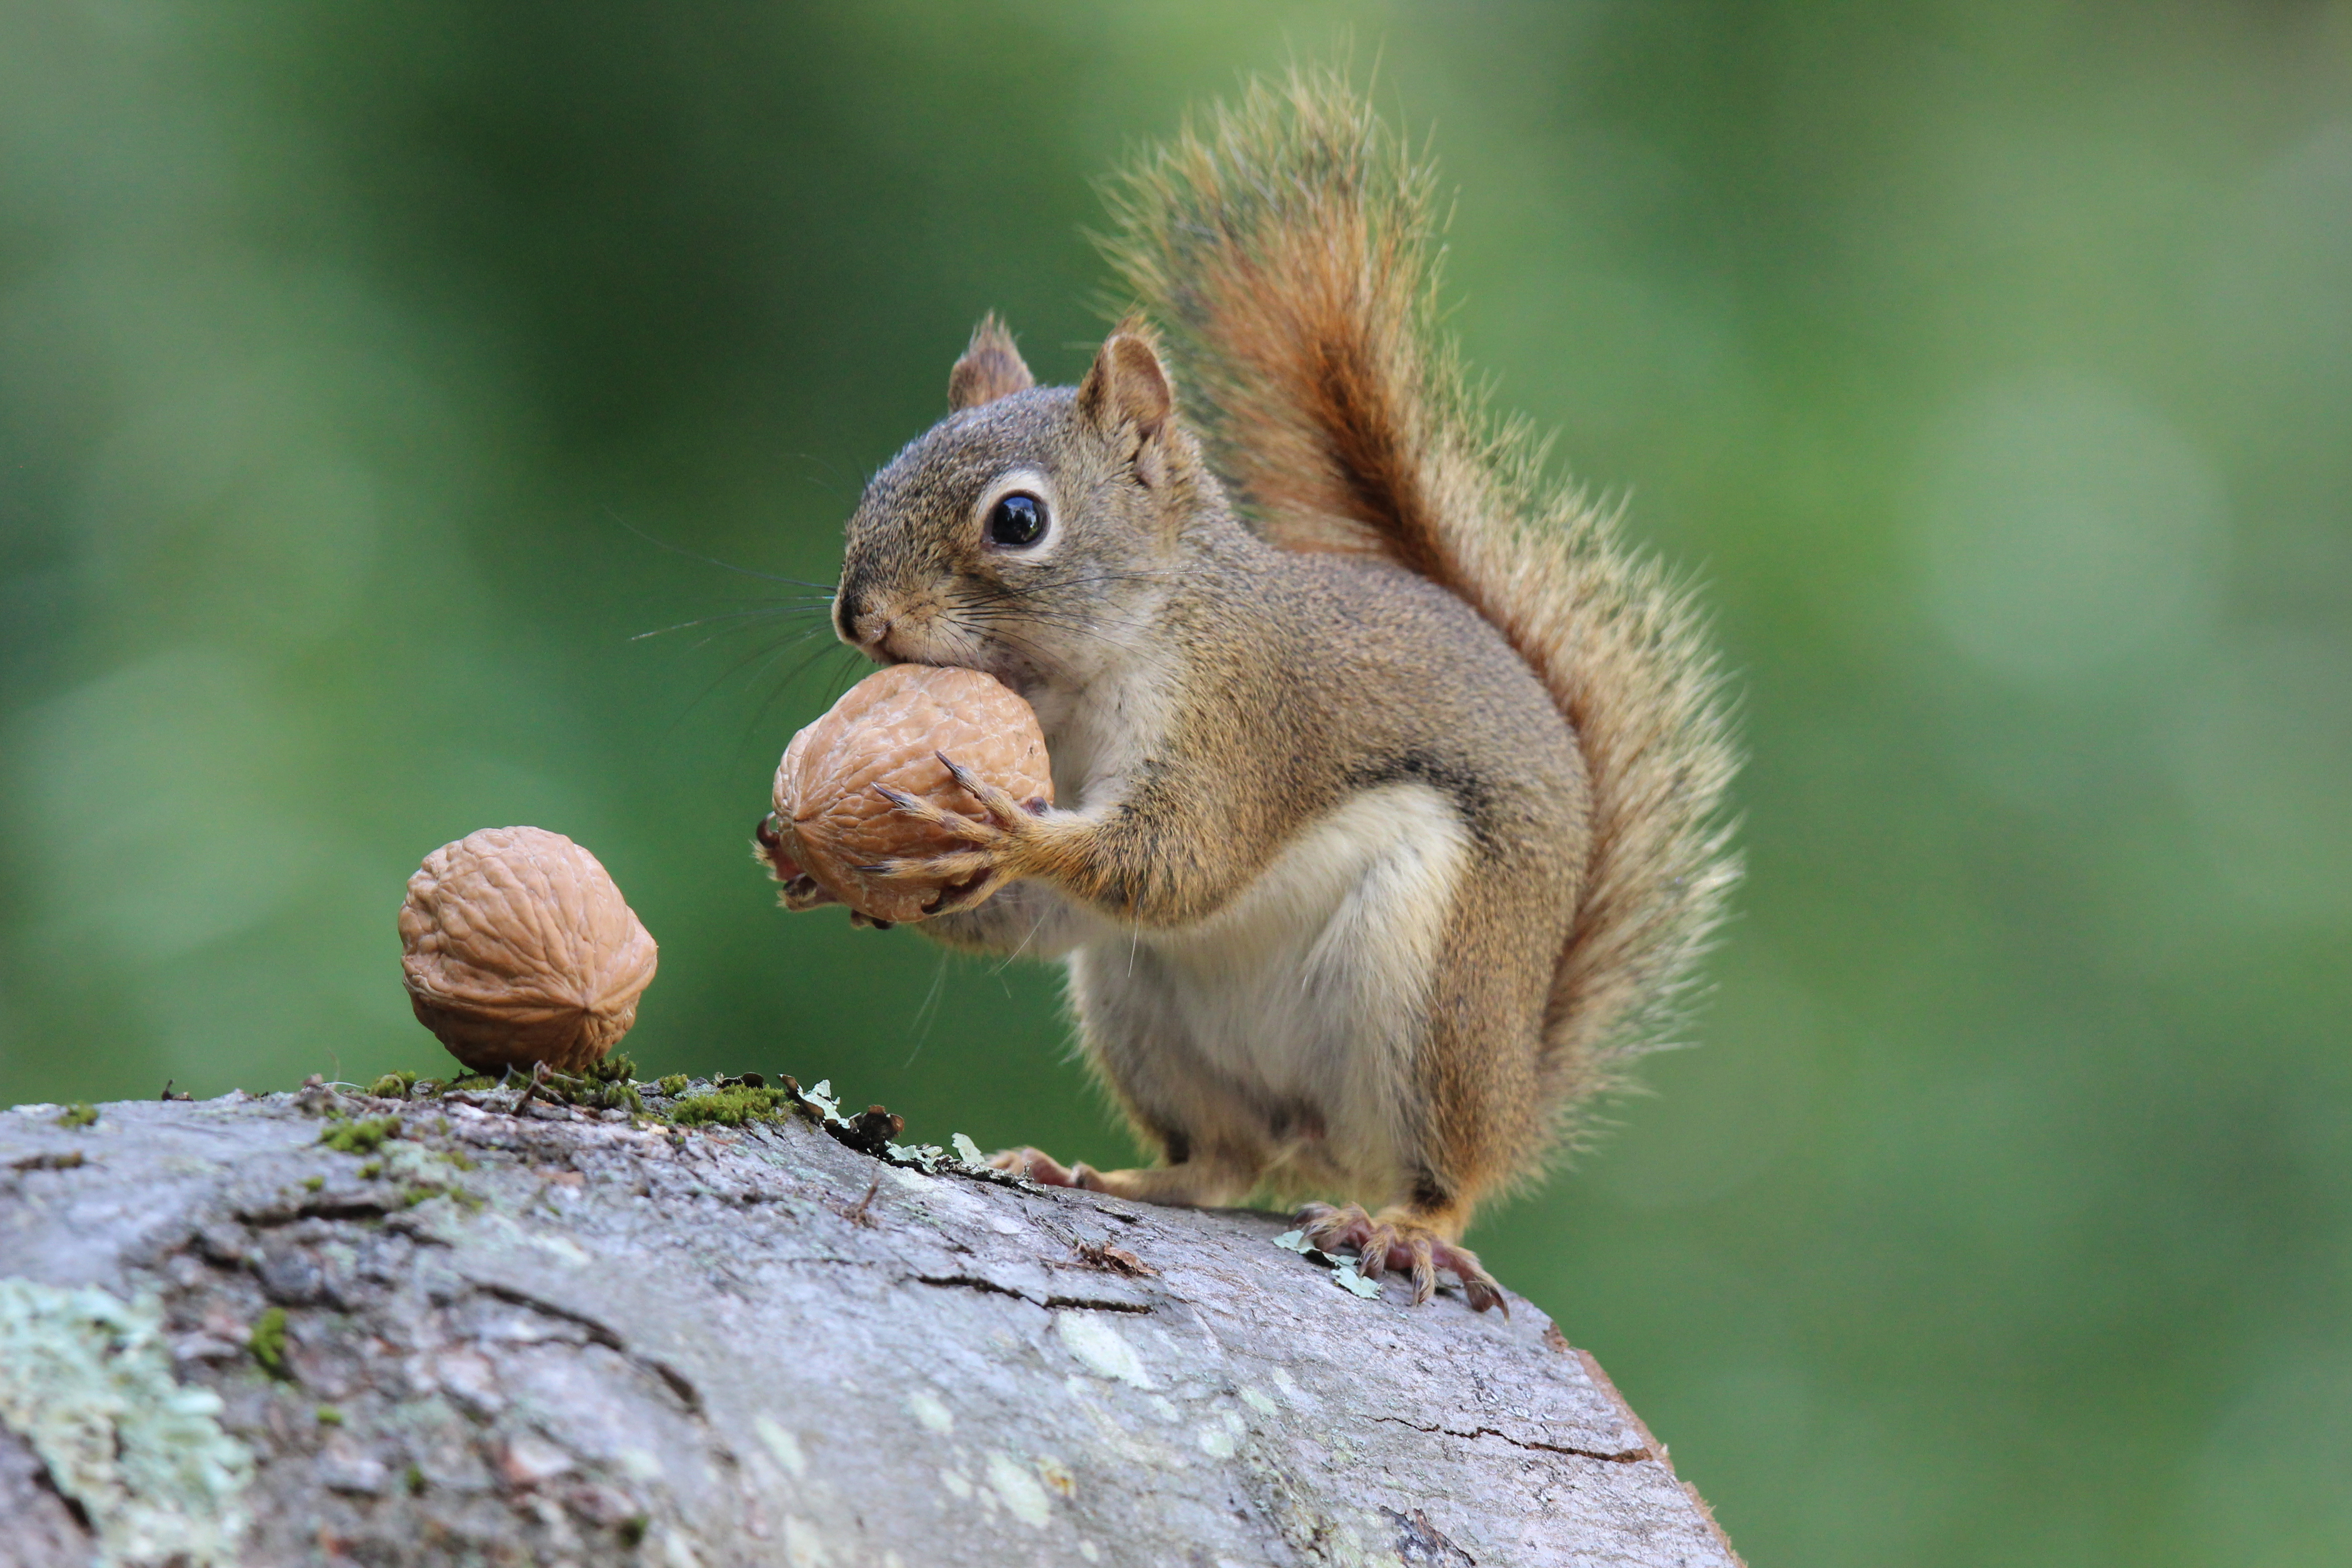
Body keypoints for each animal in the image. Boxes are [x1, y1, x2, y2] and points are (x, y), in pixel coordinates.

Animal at [781, 70, 1740, 1316]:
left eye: (1019, 519)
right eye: (878, 479)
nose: (860, 616)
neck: (1083, 679)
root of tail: (1517, 1085)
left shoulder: (1243, 722)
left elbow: (1181, 858)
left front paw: (1003, 830)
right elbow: (1046, 916)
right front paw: (816, 860)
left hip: (1430, 996)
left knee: (1439, 1176)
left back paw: (1406, 1228)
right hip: (1139, 1009)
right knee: (1223, 1163)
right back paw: (1101, 1172)